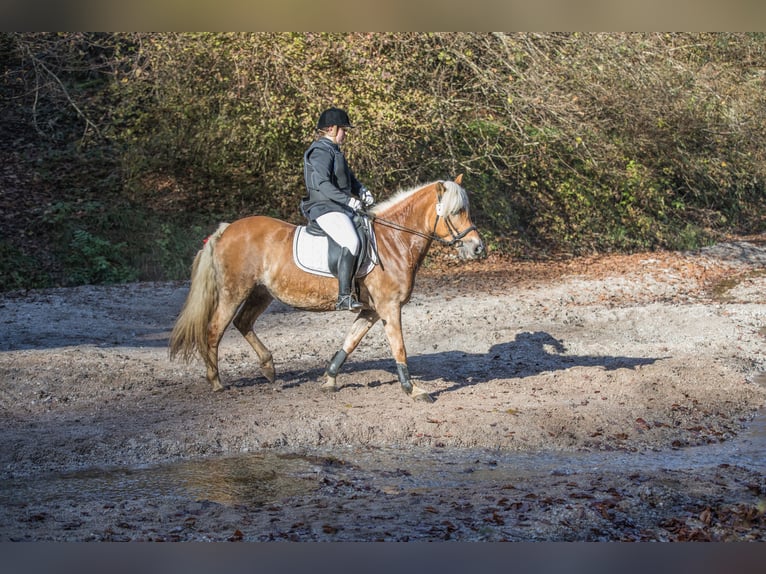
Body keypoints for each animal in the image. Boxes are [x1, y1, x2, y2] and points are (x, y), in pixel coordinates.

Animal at [171, 176, 486, 404]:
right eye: (456, 212)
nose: (477, 248)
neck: (394, 241)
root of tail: (225, 230)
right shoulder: (389, 308)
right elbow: (399, 348)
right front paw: (413, 390)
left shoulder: (372, 311)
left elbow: (350, 341)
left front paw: (330, 379)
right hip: (233, 292)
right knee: (215, 330)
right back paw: (216, 381)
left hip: (261, 293)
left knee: (243, 322)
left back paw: (268, 368)